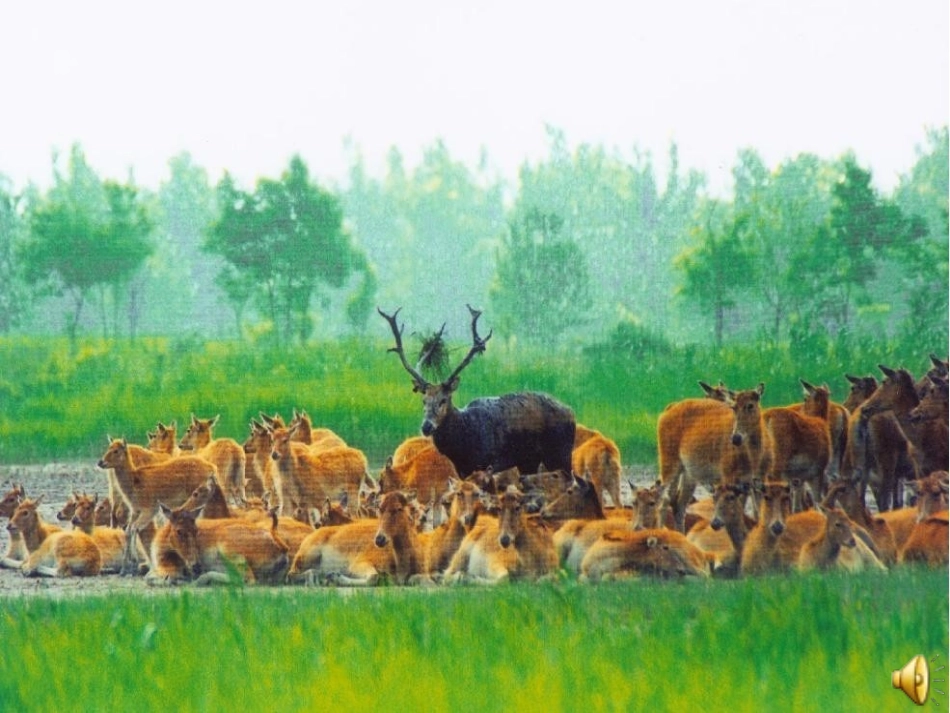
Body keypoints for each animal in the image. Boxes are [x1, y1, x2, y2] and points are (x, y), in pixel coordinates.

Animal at [379, 306, 576, 477]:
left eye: (444, 399)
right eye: (424, 400)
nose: (426, 426)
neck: (463, 445)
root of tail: (571, 411)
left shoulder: (488, 463)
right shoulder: (462, 470)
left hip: (561, 453)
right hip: (529, 461)